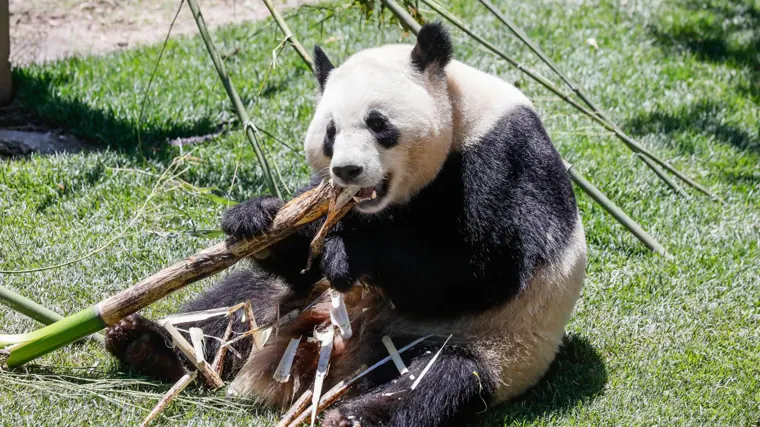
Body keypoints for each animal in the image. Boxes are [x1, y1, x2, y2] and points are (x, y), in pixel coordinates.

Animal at [104, 22, 584, 427]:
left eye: (379, 123)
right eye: (330, 132)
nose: (348, 170)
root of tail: (332, 357)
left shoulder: (501, 154)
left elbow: (485, 269)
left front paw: (352, 253)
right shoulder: (328, 197)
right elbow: (301, 254)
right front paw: (255, 216)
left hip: (487, 345)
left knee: (437, 377)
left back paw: (351, 416)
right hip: (290, 304)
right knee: (235, 305)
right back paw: (147, 345)